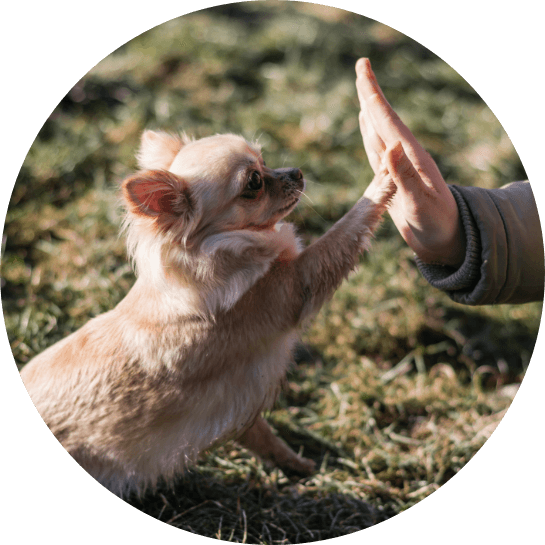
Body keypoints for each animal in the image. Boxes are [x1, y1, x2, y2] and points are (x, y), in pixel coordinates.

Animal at [20, 131, 396, 498]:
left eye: (264, 160)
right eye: (254, 182)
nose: (297, 172)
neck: (224, 248)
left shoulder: (242, 404)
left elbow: (264, 437)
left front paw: (299, 466)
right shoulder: (298, 285)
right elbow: (347, 228)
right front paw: (385, 175)